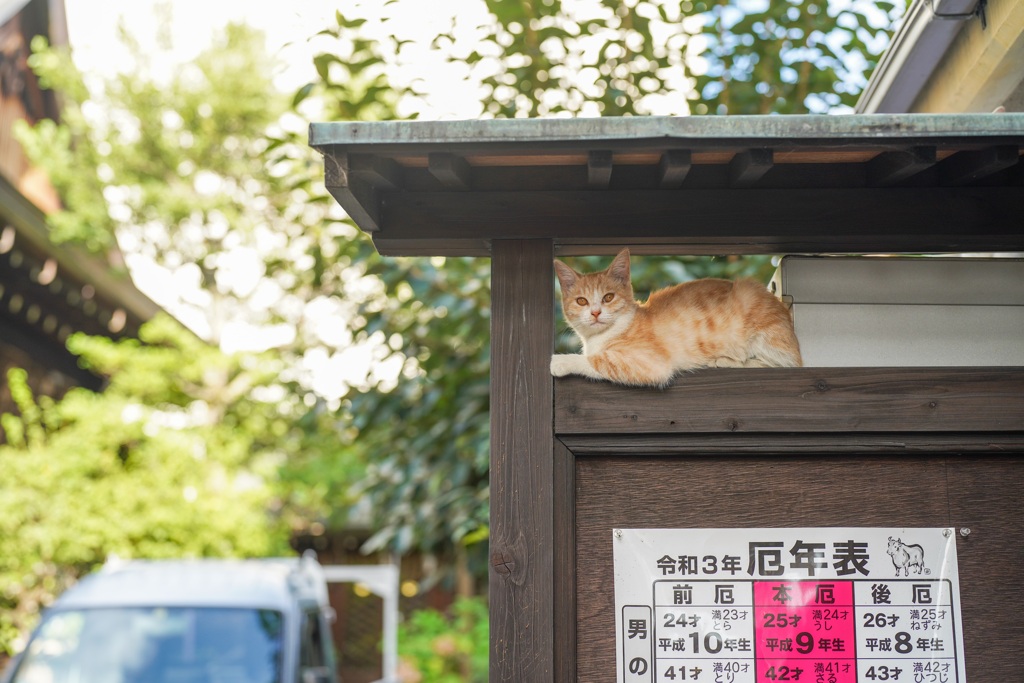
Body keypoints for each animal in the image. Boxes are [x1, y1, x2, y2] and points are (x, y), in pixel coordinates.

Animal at [552, 248, 798, 387]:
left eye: (608, 297)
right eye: (581, 301)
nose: (595, 312)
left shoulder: (651, 364)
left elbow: (600, 360)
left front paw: (561, 361)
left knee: (782, 364)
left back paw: (725, 360)